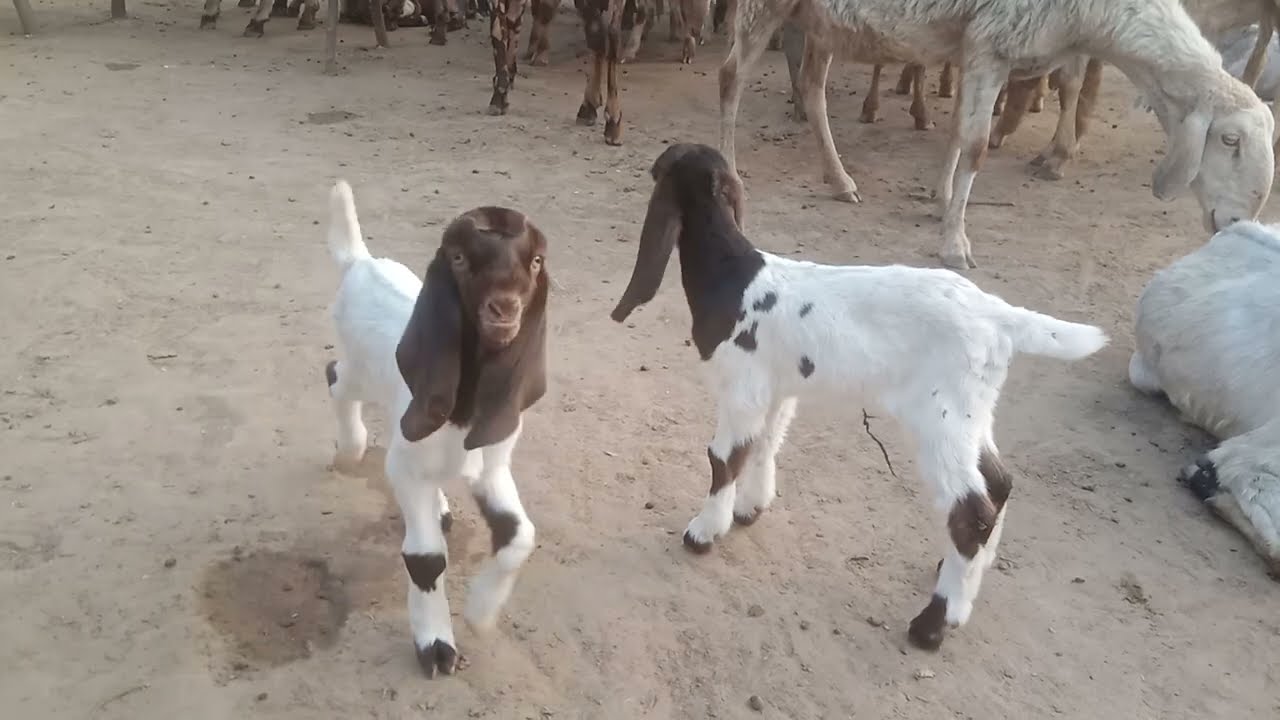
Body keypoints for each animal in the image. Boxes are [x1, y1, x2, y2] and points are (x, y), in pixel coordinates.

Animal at [323, 181, 550, 676]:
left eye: (536, 261)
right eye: (459, 258)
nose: (504, 309)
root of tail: (361, 262)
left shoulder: (492, 466)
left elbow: (520, 535)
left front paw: (481, 614)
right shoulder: (409, 463)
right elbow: (425, 558)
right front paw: (436, 644)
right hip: (362, 372)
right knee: (335, 376)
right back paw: (350, 447)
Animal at [610, 143, 1108, 650]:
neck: (733, 275)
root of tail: (1000, 316)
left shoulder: (741, 387)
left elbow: (723, 459)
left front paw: (704, 532)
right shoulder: (777, 389)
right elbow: (765, 445)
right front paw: (751, 508)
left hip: (940, 415)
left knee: (971, 510)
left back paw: (934, 624)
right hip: (972, 409)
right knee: (999, 482)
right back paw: (964, 574)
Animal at [719, 0, 1277, 270]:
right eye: (1229, 140)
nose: (1235, 224)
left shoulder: (976, 49)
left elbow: (957, 134)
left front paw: (944, 200)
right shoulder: (992, 43)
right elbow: (976, 147)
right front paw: (955, 244)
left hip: (822, 19)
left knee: (813, 88)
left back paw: (840, 180)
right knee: (732, 77)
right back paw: (728, 177)